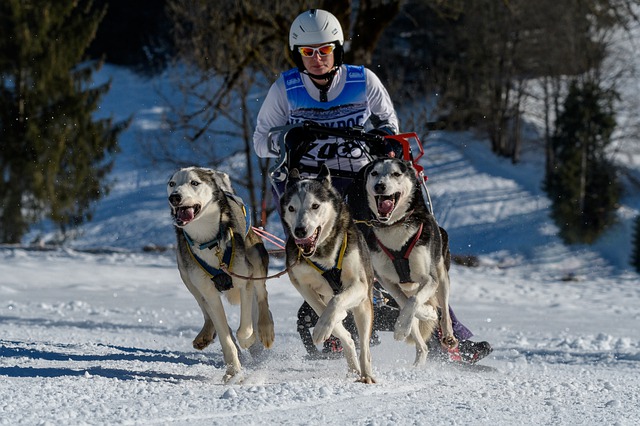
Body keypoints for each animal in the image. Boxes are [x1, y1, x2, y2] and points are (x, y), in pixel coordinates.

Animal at [166, 166, 274, 382]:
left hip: (256, 259)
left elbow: (245, 327)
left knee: (261, 297)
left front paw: (249, 340)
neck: (209, 241)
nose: (174, 197)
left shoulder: (245, 281)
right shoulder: (209, 293)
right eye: (172, 184)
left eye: (194, 183)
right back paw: (207, 333)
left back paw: (265, 329)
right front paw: (233, 371)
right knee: (205, 309)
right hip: (187, 277)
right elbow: (225, 336)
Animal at [280, 166, 376, 382]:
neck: (322, 252)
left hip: (364, 306)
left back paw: (366, 374)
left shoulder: (359, 284)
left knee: (365, 348)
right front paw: (324, 327)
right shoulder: (302, 286)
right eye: (291, 208)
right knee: (348, 337)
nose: (299, 230)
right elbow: (321, 309)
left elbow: (336, 301)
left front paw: (324, 325)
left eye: (315, 206)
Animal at [362, 158, 458, 364]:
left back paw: (448, 335)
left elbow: (414, 301)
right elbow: (405, 301)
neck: (395, 226)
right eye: (374, 173)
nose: (379, 186)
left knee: (445, 312)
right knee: (422, 346)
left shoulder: (429, 279)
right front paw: (419, 317)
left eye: (396, 174)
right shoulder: (386, 281)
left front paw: (406, 324)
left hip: (442, 278)